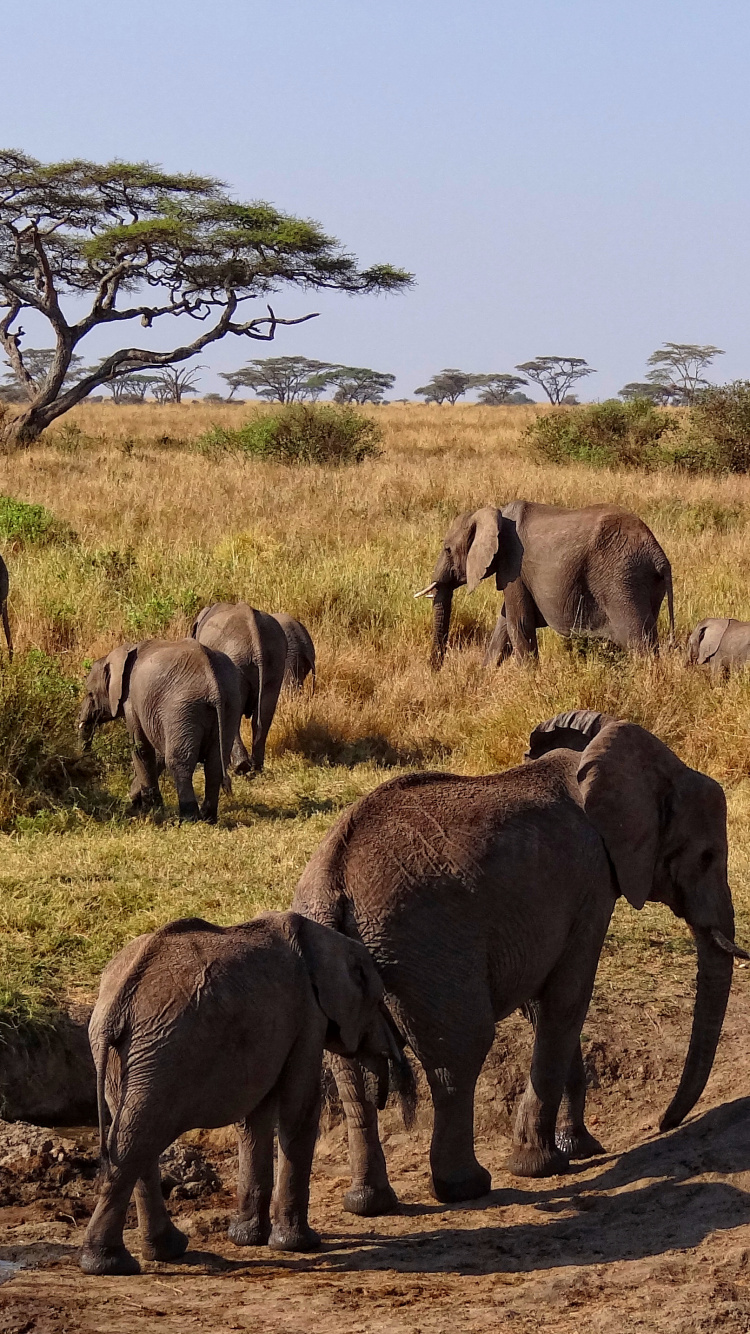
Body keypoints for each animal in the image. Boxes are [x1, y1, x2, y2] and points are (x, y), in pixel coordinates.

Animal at [78, 638, 243, 822]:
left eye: (90, 693)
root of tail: (213, 684)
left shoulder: (132, 701)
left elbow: (141, 748)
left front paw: (149, 809)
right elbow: (157, 753)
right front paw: (137, 801)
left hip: (182, 709)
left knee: (179, 761)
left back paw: (188, 818)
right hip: (231, 704)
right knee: (214, 763)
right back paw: (208, 818)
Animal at [80, 911, 411, 1276]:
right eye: (378, 1001)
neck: (327, 940)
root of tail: (116, 1006)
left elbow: (254, 1119)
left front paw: (247, 1239)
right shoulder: (308, 1015)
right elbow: (298, 1110)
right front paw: (300, 1245)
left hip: (127, 1058)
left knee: (135, 1140)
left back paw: (162, 1251)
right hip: (161, 1052)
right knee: (136, 1140)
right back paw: (110, 1264)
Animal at [291, 711, 745, 1214]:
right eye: (706, 857)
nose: (665, 1124)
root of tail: (332, 881)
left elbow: (543, 1005)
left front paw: (577, 1148)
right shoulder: (591, 882)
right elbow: (566, 1000)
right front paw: (541, 1165)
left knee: (349, 1072)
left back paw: (369, 1203)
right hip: (427, 952)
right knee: (459, 1053)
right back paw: (467, 1187)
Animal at [415, 501, 674, 669]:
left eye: (447, 549)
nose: (435, 671)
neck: (494, 512)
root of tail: (658, 555)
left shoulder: (514, 565)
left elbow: (519, 624)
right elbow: (504, 626)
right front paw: (483, 682)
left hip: (622, 579)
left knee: (639, 642)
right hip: (643, 583)